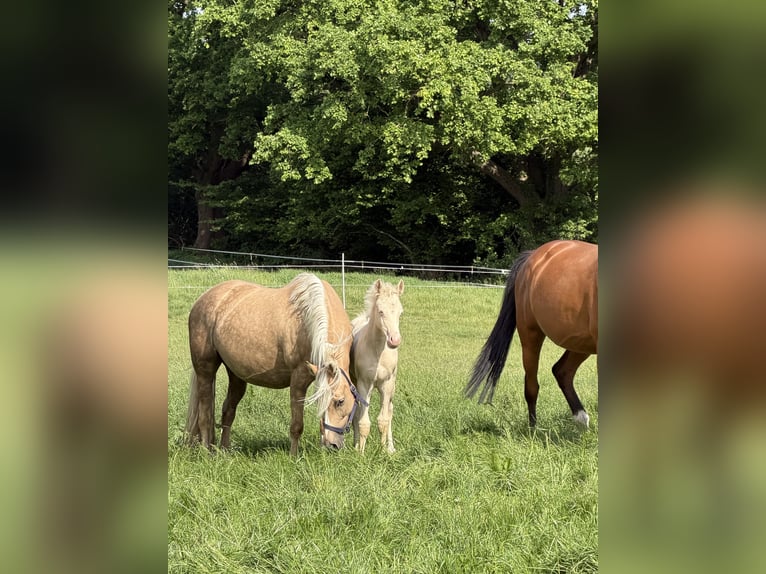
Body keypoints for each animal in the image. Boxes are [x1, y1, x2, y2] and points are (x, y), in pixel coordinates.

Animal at [184, 273, 367, 456]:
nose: (332, 445)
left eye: (340, 401)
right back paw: (206, 452)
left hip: (236, 376)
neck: (308, 318)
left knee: (228, 411)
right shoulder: (299, 380)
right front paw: (293, 457)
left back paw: (225, 450)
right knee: (205, 415)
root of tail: (203, 298)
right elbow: (296, 426)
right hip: (205, 371)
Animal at [350, 279, 404, 453]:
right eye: (381, 311)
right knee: (357, 412)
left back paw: (391, 447)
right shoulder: (364, 385)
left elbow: (384, 420)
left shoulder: (387, 384)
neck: (377, 351)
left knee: (390, 411)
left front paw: (383, 451)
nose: (395, 340)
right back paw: (355, 445)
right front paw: (360, 452)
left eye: (400, 312)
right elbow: (363, 422)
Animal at [465, 240, 598, 428]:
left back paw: (581, 421)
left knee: (562, 371)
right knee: (532, 386)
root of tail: (533, 256)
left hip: (581, 343)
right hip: (530, 336)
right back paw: (533, 428)